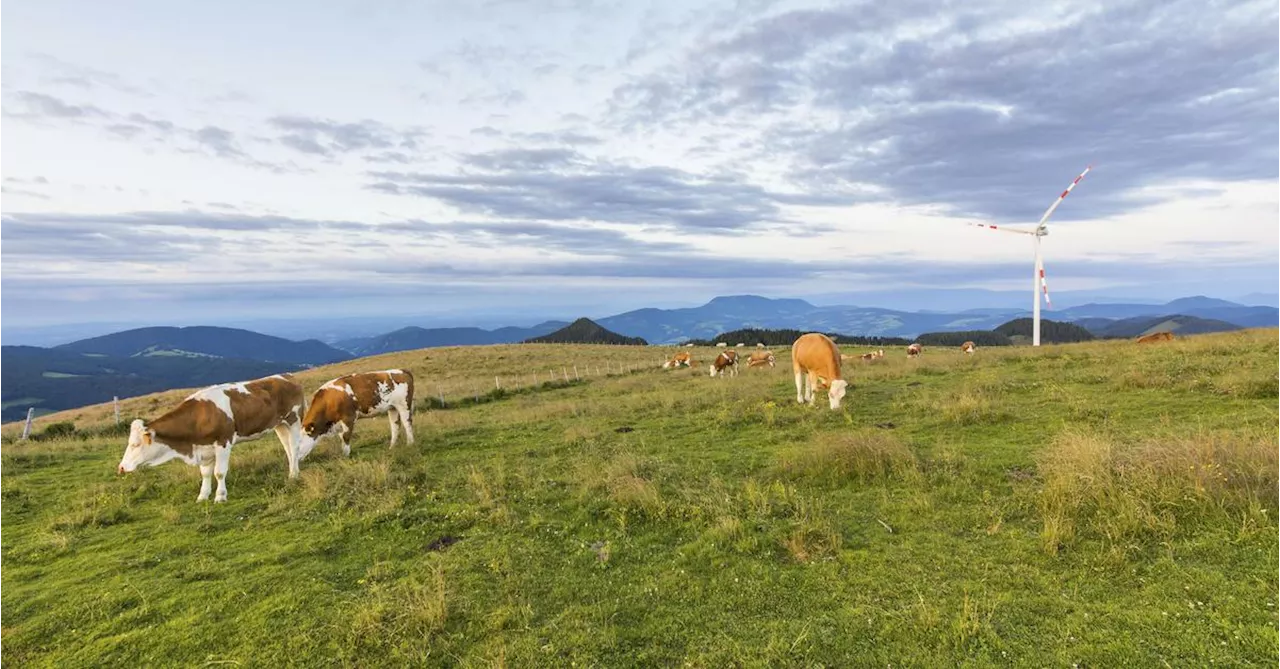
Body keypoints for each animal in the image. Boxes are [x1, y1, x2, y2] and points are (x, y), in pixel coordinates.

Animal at [115, 370, 304, 501]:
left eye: (135, 444)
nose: (121, 467)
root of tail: (287, 376)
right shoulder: (203, 448)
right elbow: (205, 474)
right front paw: (203, 496)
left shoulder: (224, 442)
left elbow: (219, 472)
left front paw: (220, 496)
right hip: (280, 425)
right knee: (287, 448)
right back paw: (292, 471)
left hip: (294, 420)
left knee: (295, 447)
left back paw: (294, 475)